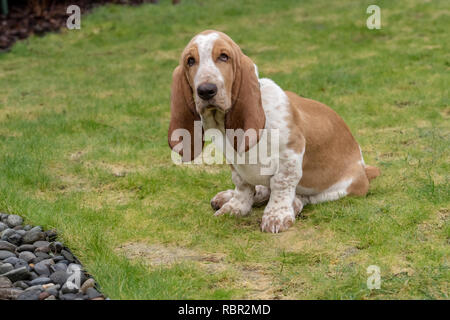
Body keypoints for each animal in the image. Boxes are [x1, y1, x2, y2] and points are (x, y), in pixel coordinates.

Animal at [169, 30, 380, 232]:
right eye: (190, 61)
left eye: (224, 57)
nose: (206, 90)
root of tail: (364, 169)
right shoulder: (233, 160)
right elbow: (242, 185)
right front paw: (235, 207)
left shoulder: (291, 151)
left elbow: (281, 184)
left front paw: (276, 216)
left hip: (341, 187)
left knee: (305, 197)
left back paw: (293, 204)